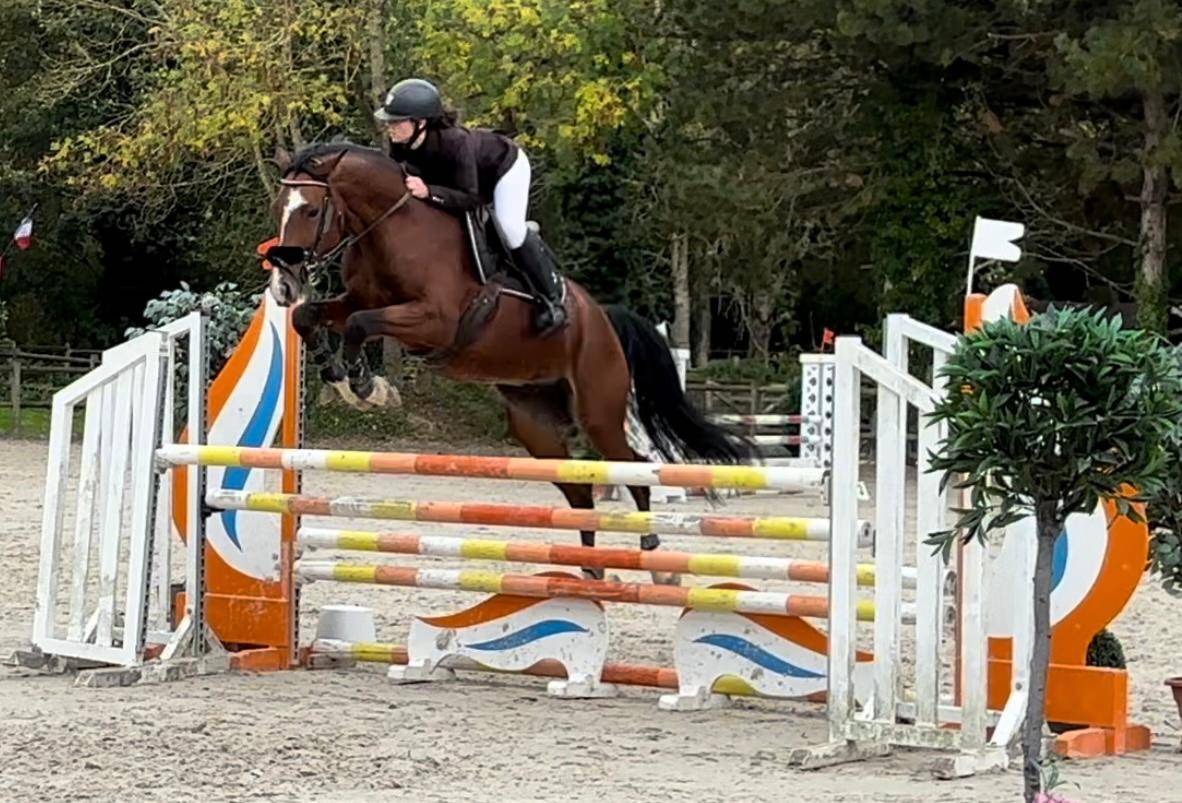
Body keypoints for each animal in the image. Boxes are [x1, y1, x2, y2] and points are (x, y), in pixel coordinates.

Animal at [265, 142, 754, 583]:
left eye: (311, 211)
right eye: (279, 208)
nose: (285, 283)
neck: (393, 229)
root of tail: (602, 317)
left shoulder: (435, 321)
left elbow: (360, 325)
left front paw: (366, 386)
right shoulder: (357, 300)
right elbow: (312, 316)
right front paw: (335, 373)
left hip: (598, 410)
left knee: (632, 468)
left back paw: (656, 559)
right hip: (533, 424)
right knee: (580, 488)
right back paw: (591, 567)